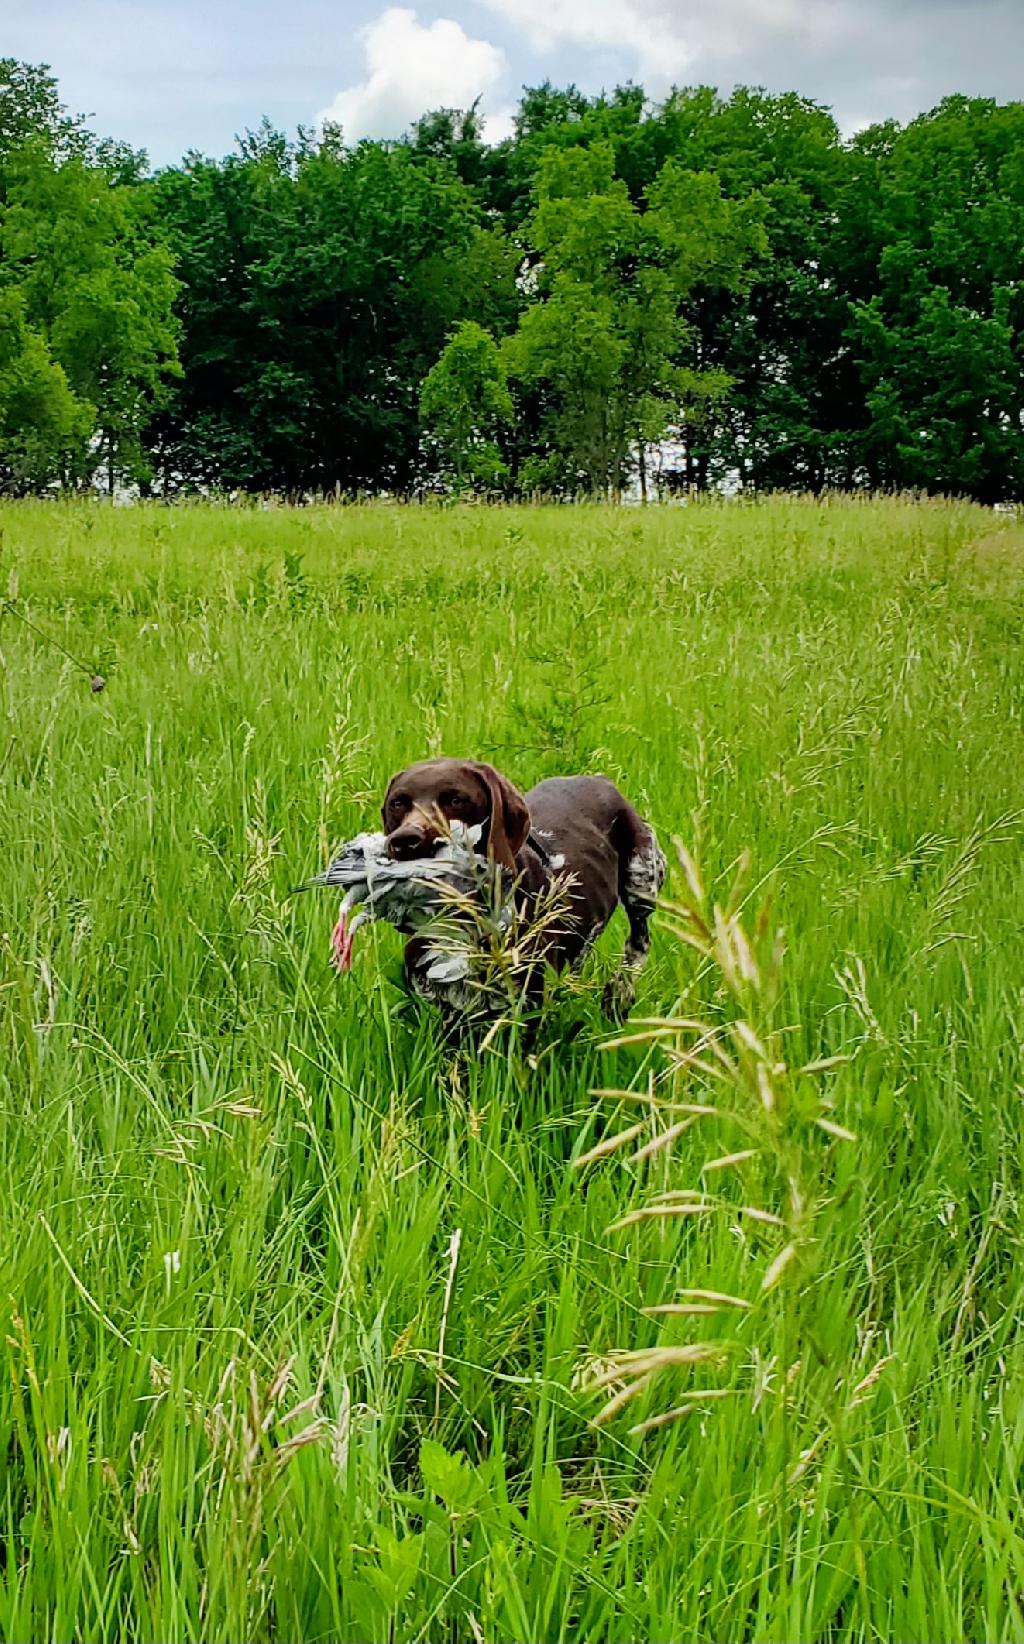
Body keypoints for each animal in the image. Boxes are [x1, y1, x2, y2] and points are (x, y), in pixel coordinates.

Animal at [381, 756, 670, 1012]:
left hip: (641, 880)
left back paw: (620, 992)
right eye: (398, 803)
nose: (405, 840)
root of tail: (601, 780)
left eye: (455, 800)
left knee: (639, 939)